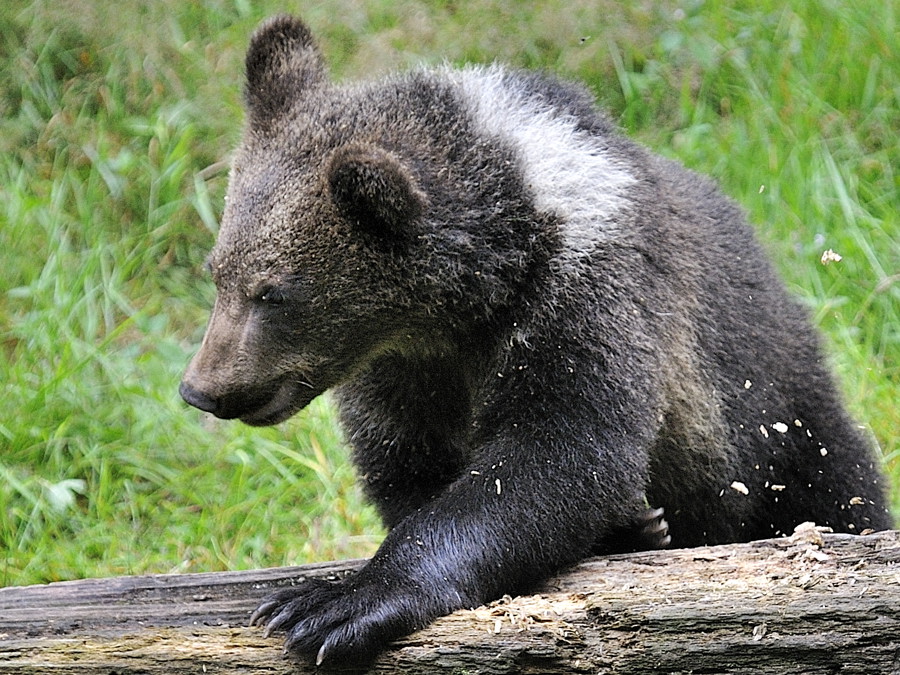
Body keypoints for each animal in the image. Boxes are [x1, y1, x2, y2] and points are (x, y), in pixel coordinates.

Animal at [179, 15, 893, 665]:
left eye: (274, 293)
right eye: (219, 273)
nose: (202, 389)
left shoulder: (583, 295)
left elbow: (556, 453)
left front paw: (334, 605)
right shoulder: (404, 371)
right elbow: (409, 463)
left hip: (782, 427)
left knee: (834, 489)